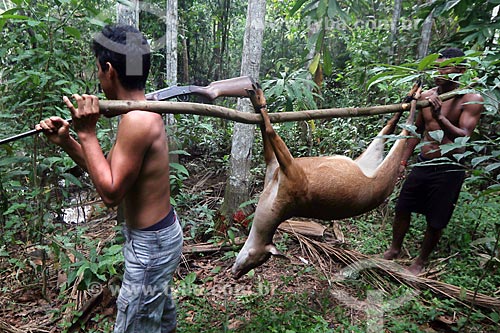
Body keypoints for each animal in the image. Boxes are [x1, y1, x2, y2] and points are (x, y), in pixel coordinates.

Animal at [232, 82, 420, 278]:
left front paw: (260, 100)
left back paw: (414, 101)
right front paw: (256, 101)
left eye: (256, 260)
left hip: (386, 177)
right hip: (369, 158)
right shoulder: (272, 169)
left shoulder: (292, 173)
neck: (271, 203)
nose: (236, 274)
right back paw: (410, 95)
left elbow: (269, 130)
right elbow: (266, 142)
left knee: (406, 132)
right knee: (387, 129)